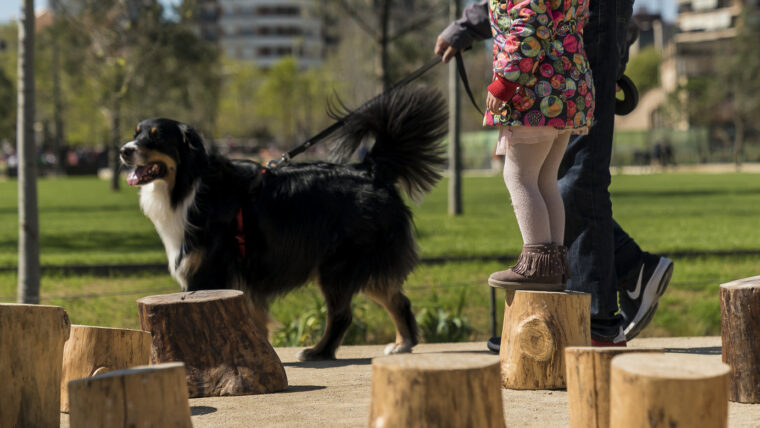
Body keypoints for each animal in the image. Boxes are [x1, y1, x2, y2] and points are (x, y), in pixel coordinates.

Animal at [119, 87, 448, 362]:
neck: (191, 185)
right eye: (136, 133)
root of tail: (369, 170)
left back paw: (319, 352)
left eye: (156, 137)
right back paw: (403, 343)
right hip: (361, 266)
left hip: (339, 266)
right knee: (398, 300)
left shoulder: (207, 273)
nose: (123, 150)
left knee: (342, 314)